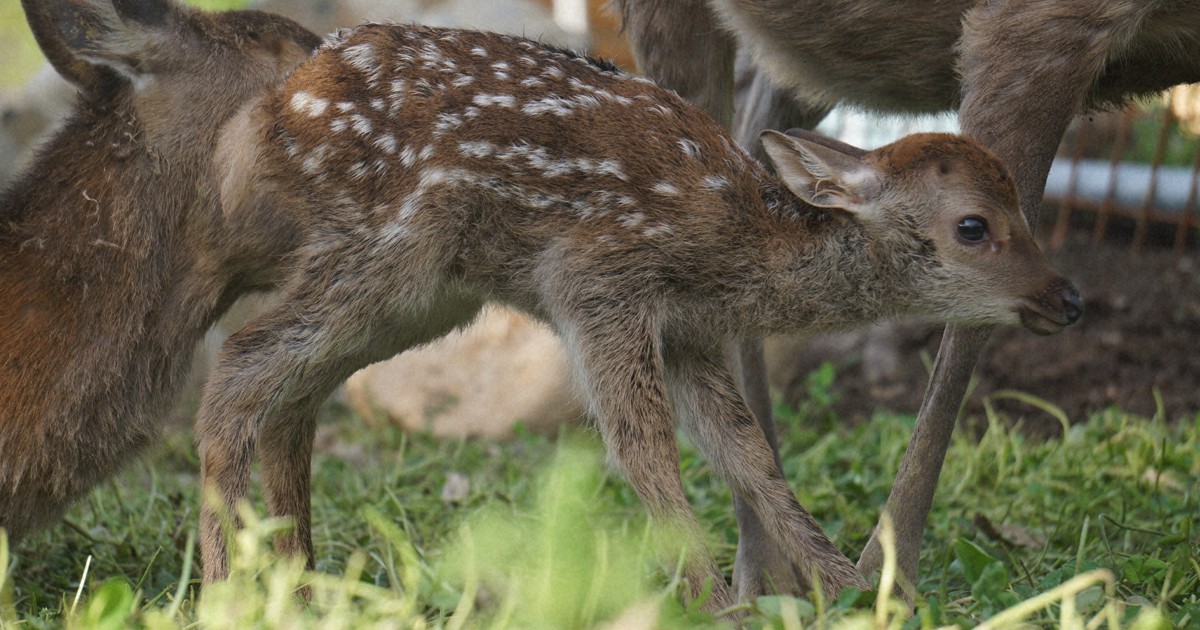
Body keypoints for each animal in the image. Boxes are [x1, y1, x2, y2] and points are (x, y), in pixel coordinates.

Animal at [197, 22, 1081, 610]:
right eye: (974, 226)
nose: (1066, 297)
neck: (738, 247)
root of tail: (271, 111)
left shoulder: (690, 333)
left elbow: (748, 454)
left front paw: (848, 588)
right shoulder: (597, 283)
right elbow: (643, 447)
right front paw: (714, 601)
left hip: (426, 294)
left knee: (293, 393)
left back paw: (300, 581)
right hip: (386, 250)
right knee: (239, 364)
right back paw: (226, 590)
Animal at [614, 0, 1200, 601]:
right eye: (971, 227)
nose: (1072, 302)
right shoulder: (1030, 26)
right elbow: (967, 330)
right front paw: (885, 581)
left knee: (755, 146)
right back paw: (764, 570)